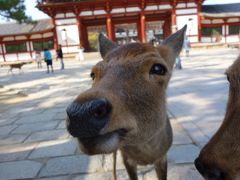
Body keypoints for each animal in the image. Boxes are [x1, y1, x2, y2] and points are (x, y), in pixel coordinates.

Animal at [66, 25, 188, 180]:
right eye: (93, 73)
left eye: (159, 68)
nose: (80, 113)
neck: (146, 155)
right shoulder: (126, 158)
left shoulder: (162, 157)